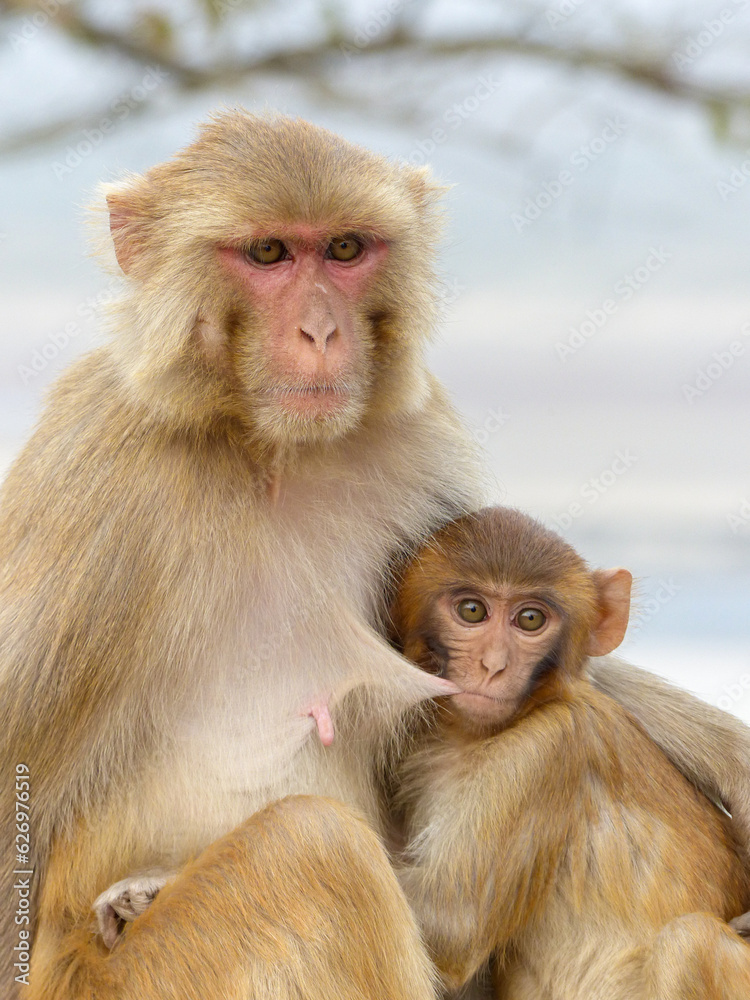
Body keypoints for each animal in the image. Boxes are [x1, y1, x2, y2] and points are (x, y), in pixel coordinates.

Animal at [389, 506, 750, 998]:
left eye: (530, 620)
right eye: (472, 610)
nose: (493, 665)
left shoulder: (548, 748)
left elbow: (450, 923)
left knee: (689, 942)